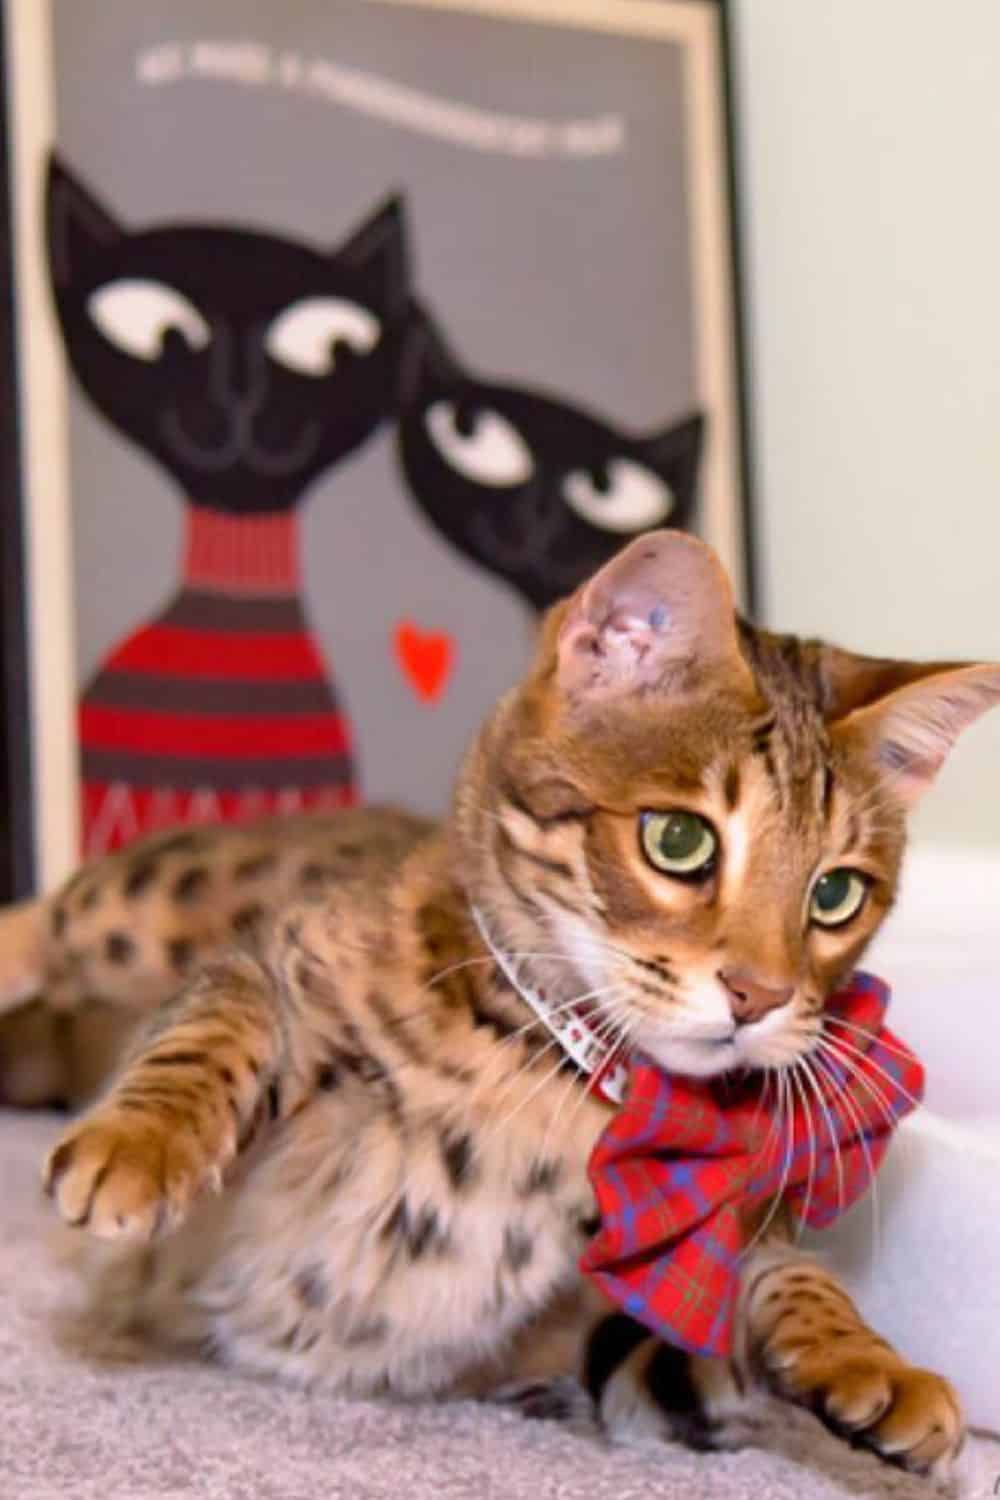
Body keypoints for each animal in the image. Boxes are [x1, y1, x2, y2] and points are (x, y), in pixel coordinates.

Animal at [0, 531, 995, 1476]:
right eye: (679, 840)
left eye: (835, 894)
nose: (761, 995)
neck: (551, 1077)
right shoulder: (275, 961)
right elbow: (221, 1021)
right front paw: (141, 1145)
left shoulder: (615, 1338)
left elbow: (778, 1285)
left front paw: (868, 1358)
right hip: (143, 908)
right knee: (43, 923)